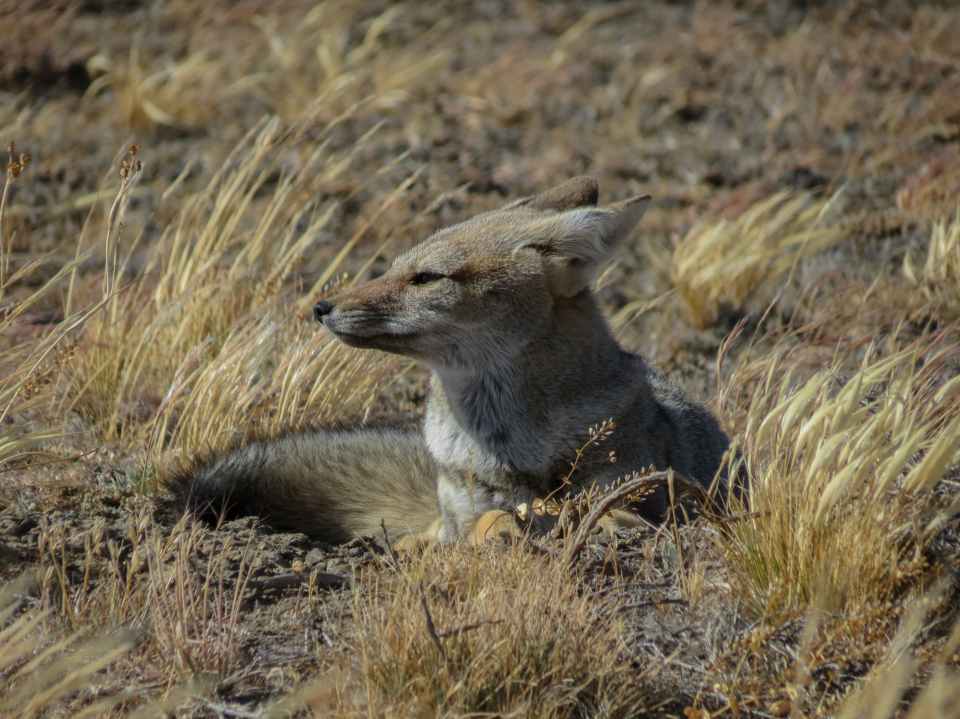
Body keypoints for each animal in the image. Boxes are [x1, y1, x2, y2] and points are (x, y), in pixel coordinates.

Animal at [172, 177, 732, 546]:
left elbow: (606, 511)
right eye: (393, 268)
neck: (505, 446)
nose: (321, 307)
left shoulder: (633, 489)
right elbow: (486, 524)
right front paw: (504, 531)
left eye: (426, 278)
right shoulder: (465, 514)